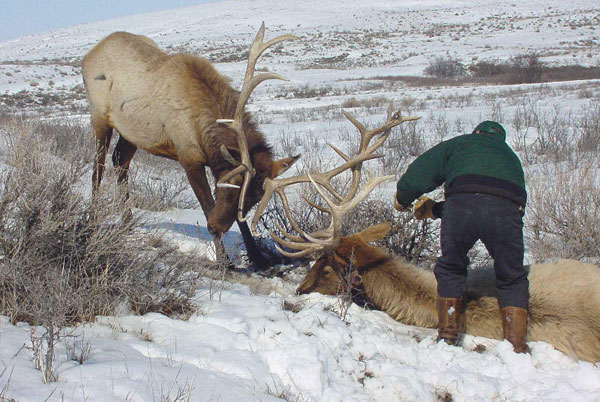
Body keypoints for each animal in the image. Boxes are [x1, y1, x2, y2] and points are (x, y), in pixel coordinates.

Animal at [81, 23, 300, 266]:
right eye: (230, 187)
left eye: (256, 198)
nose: (215, 225)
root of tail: (88, 56)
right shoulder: (189, 158)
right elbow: (206, 206)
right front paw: (224, 261)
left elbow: (239, 220)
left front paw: (257, 256)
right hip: (99, 117)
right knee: (98, 168)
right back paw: (93, 219)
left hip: (131, 131)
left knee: (120, 160)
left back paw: (127, 222)